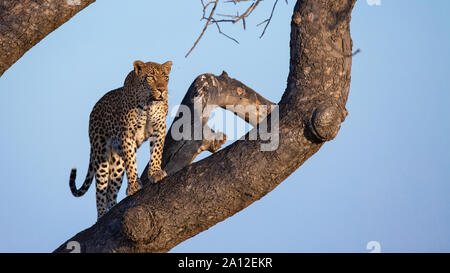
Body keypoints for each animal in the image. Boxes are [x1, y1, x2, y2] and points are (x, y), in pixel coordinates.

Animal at [69, 60, 171, 219]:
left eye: (165, 78)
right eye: (151, 77)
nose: (162, 90)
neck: (148, 103)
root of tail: (93, 110)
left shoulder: (159, 128)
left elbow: (156, 152)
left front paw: (155, 173)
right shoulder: (127, 134)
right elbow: (131, 163)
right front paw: (134, 185)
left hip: (117, 162)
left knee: (111, 192)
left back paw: (113, 208)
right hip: (101, 154)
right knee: (100, 191)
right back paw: (101, 215)